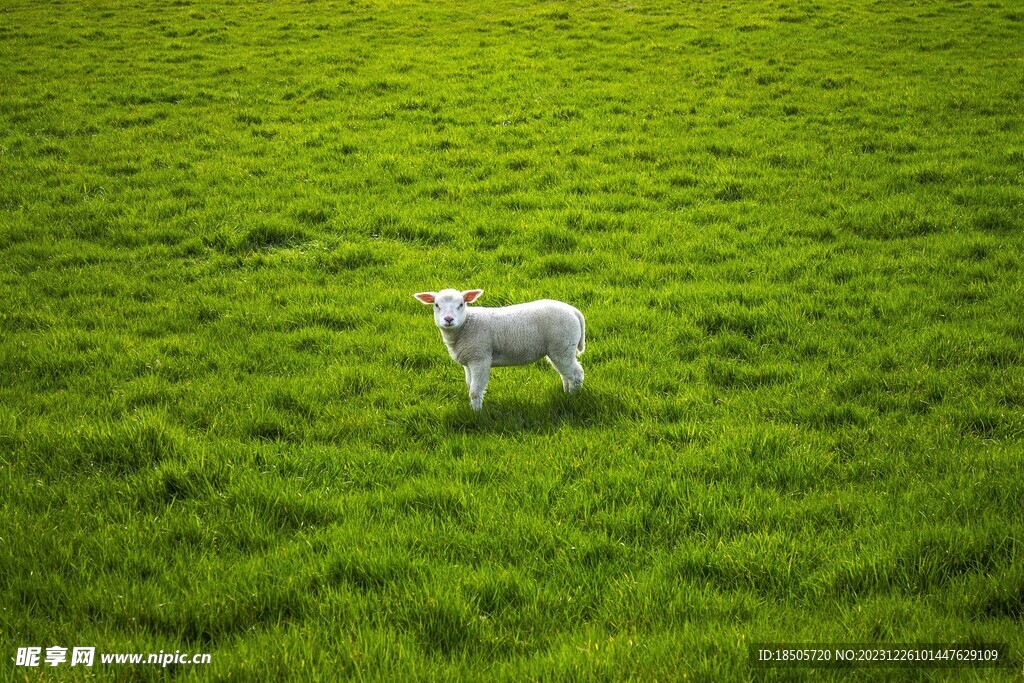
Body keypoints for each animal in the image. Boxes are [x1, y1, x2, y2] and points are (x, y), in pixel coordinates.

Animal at [413, 288, 589, 411]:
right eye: (436, 305)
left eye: (461, 304)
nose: (448, 319)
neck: (466, 325)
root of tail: (574, 311)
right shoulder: (469, 361)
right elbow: (470, 385)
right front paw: (472, 408)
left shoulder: (480, 358)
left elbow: (475, 390)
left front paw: (476, 414)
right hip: (559, 349)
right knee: (565, 374)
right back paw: (566, 393)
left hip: (563, 346)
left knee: (576, 374)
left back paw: (573, 398)